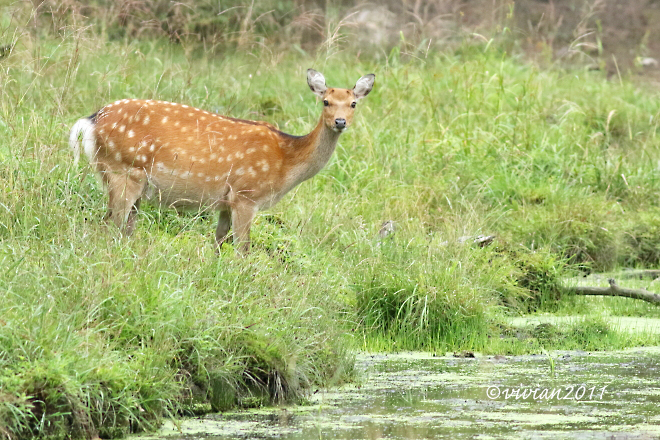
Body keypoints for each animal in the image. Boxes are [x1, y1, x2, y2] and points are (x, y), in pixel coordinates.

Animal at [70, 70, 376, 253]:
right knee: (110, 224)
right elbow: (242, 249)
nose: (340, 122)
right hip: (122, 170)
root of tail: (91, 120)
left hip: (124, 178)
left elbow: (218, 243)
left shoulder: (226, 202)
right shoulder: (246, 195)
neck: (285, 162)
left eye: (353, 104)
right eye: (325, 102)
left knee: (121, 226)